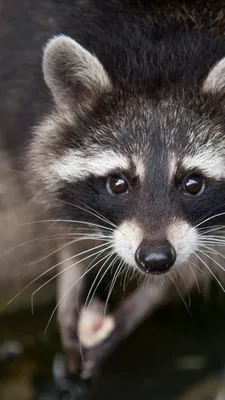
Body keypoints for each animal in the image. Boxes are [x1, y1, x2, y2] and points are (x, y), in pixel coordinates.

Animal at [2, 0, 225, 376]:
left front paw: (150, 297)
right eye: (118, 183)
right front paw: (71, 266)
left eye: (193, 183)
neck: (161, 50)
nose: (155, 260)